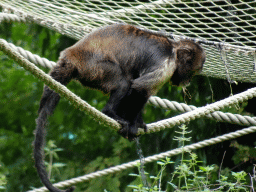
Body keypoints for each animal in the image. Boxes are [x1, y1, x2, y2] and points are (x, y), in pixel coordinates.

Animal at [34, 23, 206, 191]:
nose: (188, 81)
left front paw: (137, 123)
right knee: (124, 83)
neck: (173, 49)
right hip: (93, 66)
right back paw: (109, 113)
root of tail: (71, 55)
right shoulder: (166, 63)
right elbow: (139, 88)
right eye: (191, 72)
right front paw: (132, 126)